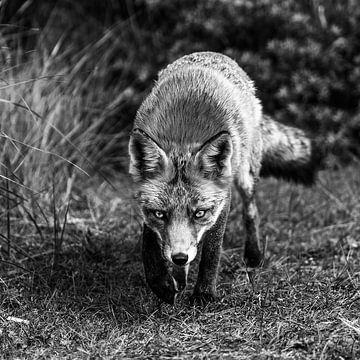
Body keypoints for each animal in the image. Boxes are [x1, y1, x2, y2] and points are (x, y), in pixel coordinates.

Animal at [128, 51, 324, 304]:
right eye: (160, 214)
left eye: (200, 213)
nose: (179, 257)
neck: (182, 139)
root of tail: (213, 54)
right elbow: (150, 246)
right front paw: (162, 284)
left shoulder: (222, 199)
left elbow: (212, 252)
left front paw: (203, 294)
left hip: (245, 176)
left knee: (251, 212)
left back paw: (253, 256)